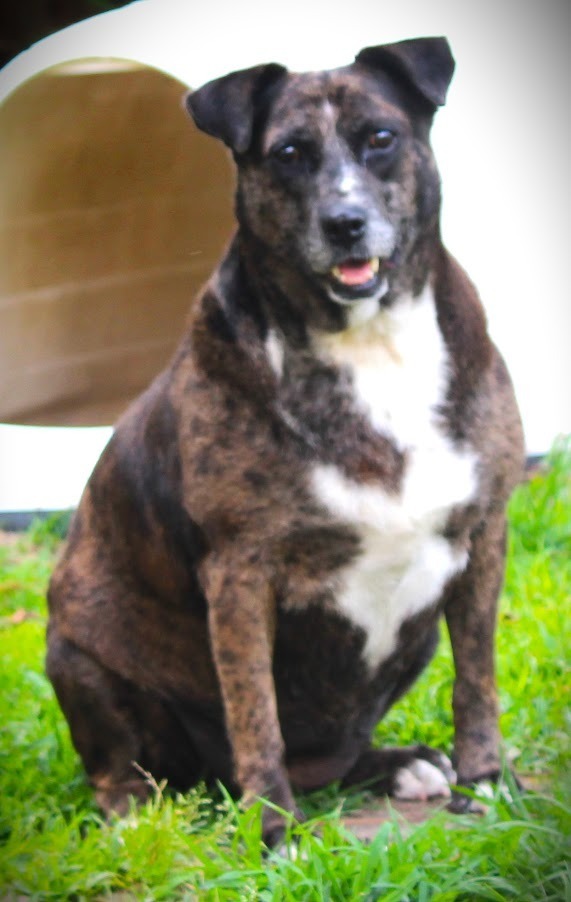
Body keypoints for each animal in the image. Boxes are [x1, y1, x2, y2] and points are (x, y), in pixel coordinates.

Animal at [47, 38, 524, 852]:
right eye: (290, 154)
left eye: (381, 137)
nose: (345, 222)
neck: (370, 345)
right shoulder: (241, 571)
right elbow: (254, 713)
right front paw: (275, 834)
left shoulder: (483, 534)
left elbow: (478, 679)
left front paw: (484, 783)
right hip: (76, 646)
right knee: (123, 771)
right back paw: (138, 814)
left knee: (336, 756)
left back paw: (401, 764)